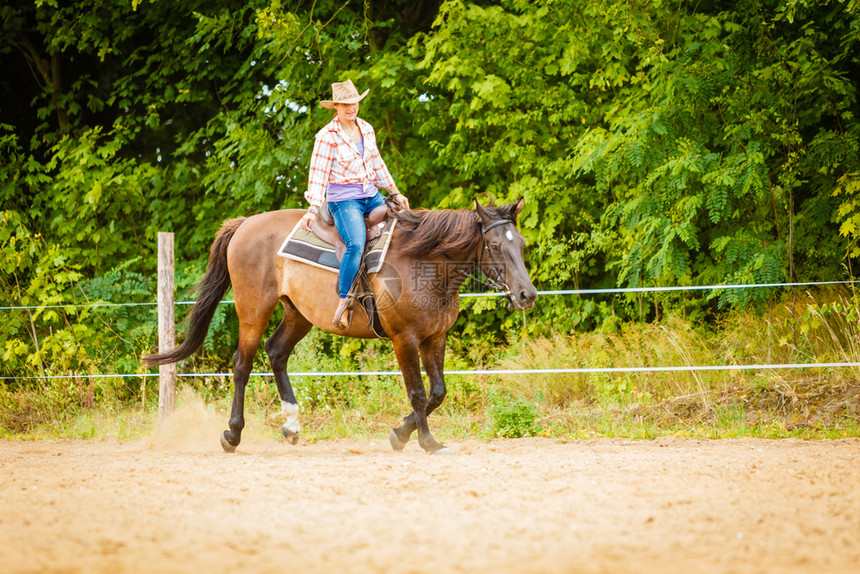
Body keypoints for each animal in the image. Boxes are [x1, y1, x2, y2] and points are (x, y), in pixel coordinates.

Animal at [144, 198, 536, 454]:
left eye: (522, 244)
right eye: (495, 245)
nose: (527, 294)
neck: (420, 261)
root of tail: (245, 224)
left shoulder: (435, 337)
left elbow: (437, 392)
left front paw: (400, 433)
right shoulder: (404, 339)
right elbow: (418, 392)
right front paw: (426, 442)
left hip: (297, 313)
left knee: (276, 353)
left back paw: (291, 426)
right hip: (253, 309)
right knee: (242, 365)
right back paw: (232, 435)